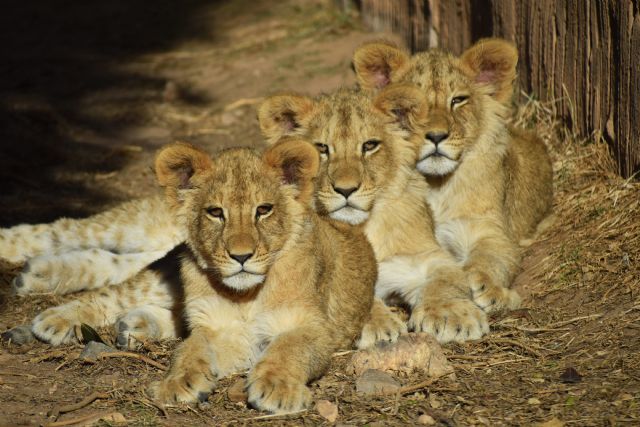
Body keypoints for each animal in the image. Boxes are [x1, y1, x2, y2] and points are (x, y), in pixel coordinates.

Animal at [149, 139, 376, 412]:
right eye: (215, 212)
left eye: (264, 210)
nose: (241, 256)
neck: (247, 296)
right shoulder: (217, 327)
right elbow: (188, 348)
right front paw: (177, 381)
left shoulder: (314, 328)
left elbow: (289, 347)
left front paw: (277, 387)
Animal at [258, 88, 488, 344]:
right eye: (322, 148)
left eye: (369, 145)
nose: (346, 189)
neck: (364, 226)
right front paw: (378, 326)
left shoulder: (422, 256)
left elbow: (446, 279)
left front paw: (452, 315)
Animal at [352, 38, 552, 312]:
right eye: (410, 107)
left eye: (458, 100)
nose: (436, 136)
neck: (434, 185)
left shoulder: (488, 229)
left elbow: (490, 258)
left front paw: (487, 288)